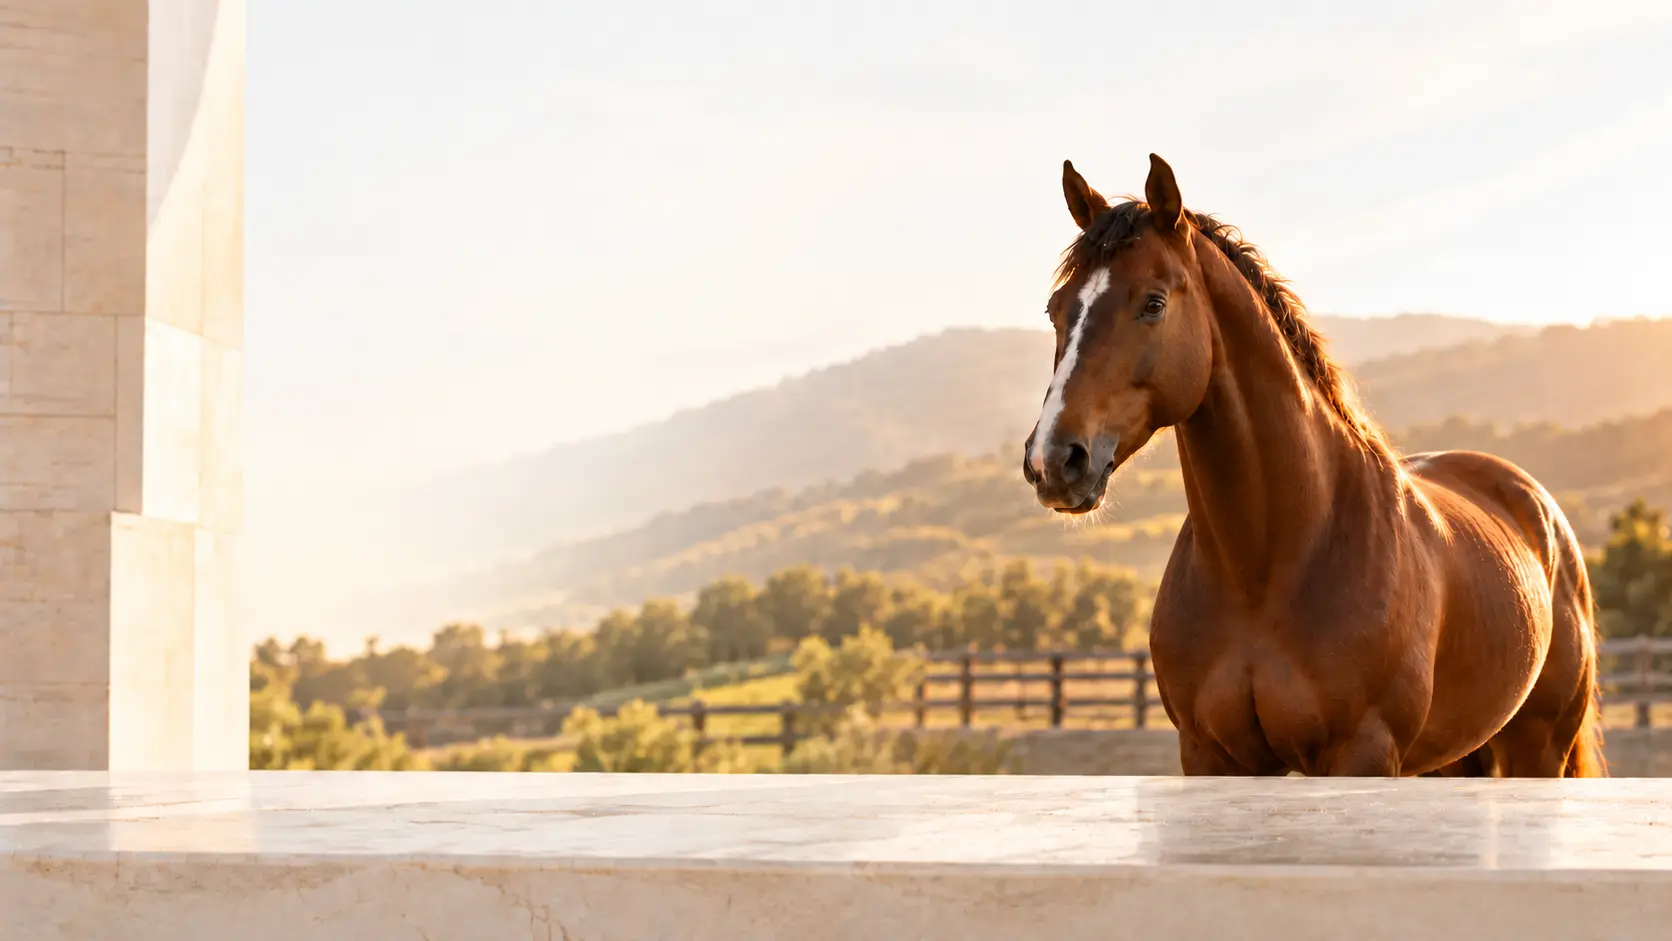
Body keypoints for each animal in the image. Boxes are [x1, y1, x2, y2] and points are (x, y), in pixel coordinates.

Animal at [1019, 153, 1606, 777]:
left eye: (1153, 303)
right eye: (1057, 310)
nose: (1053, 459)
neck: (1270, 565)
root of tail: (1537, 507)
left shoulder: (1362, 752)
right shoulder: (1209, 755)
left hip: (1537, 746)